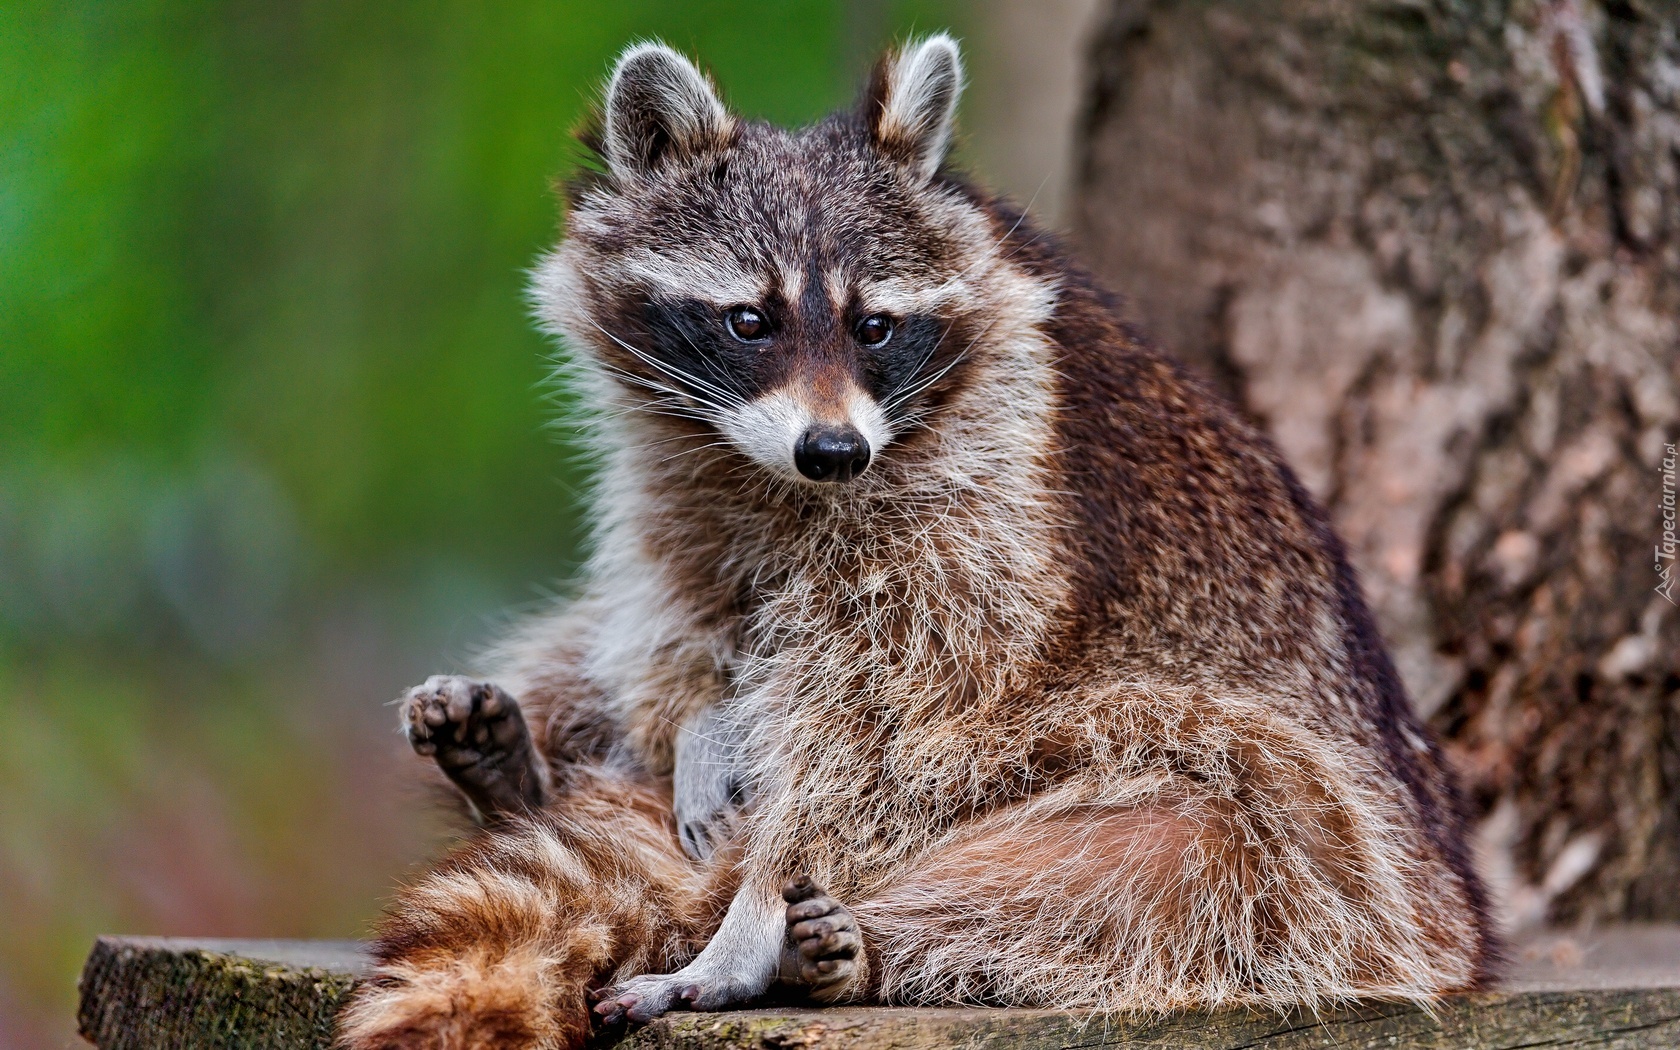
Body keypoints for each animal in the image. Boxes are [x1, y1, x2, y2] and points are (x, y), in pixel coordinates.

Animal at [334, 32, 1491, 1048]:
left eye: (874, 326)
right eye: (750, 321)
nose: (834, 450)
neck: (772, 474)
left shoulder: (984, 505)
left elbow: (887, 723)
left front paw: (753, 909)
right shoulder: (677, 470)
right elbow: (684, 610)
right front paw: (698, 722)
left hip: (1342, 851)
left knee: (1201, 846)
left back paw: (826, 942)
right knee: (585, 644)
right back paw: (520, 773)